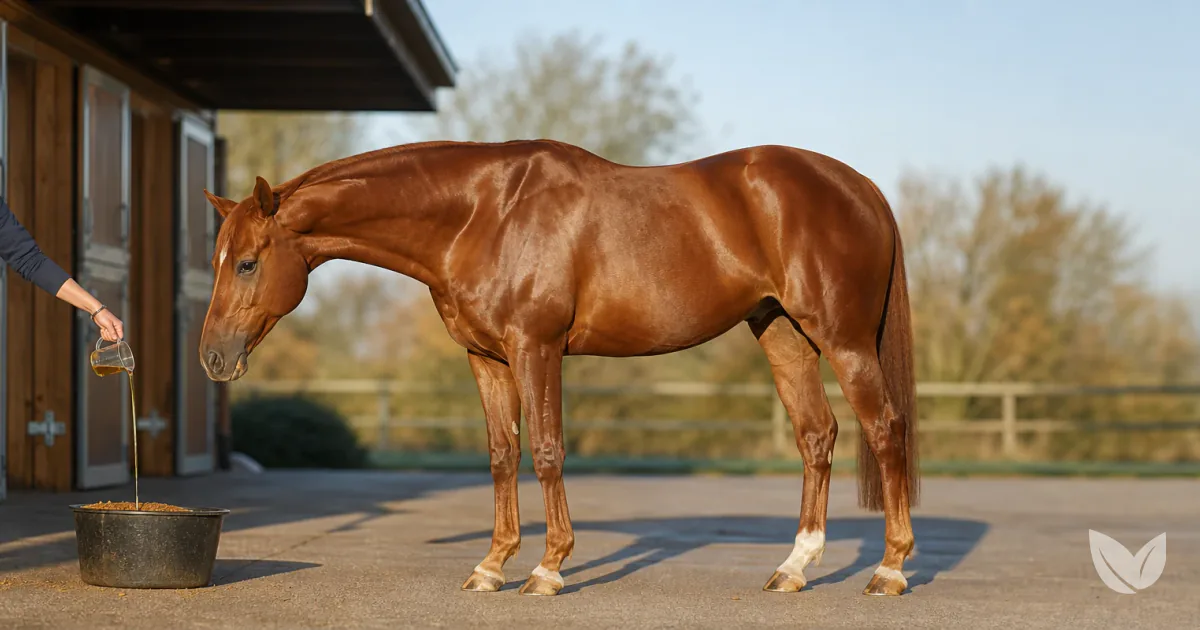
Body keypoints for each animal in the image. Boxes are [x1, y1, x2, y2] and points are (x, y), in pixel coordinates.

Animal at [199, 139, 919, 597]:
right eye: (219, 258)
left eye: (248, 262)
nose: (212, 356)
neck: (480, 214)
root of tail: (864, 188)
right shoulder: (487, 358)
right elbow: (501, 454)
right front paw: (492, 566)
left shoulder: (535, 347)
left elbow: (546, 451)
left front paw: (547, 570)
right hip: (783, 334)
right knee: (817, 436)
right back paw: (795, 566)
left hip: (844, 340)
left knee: (885, 429)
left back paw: (889, 570)